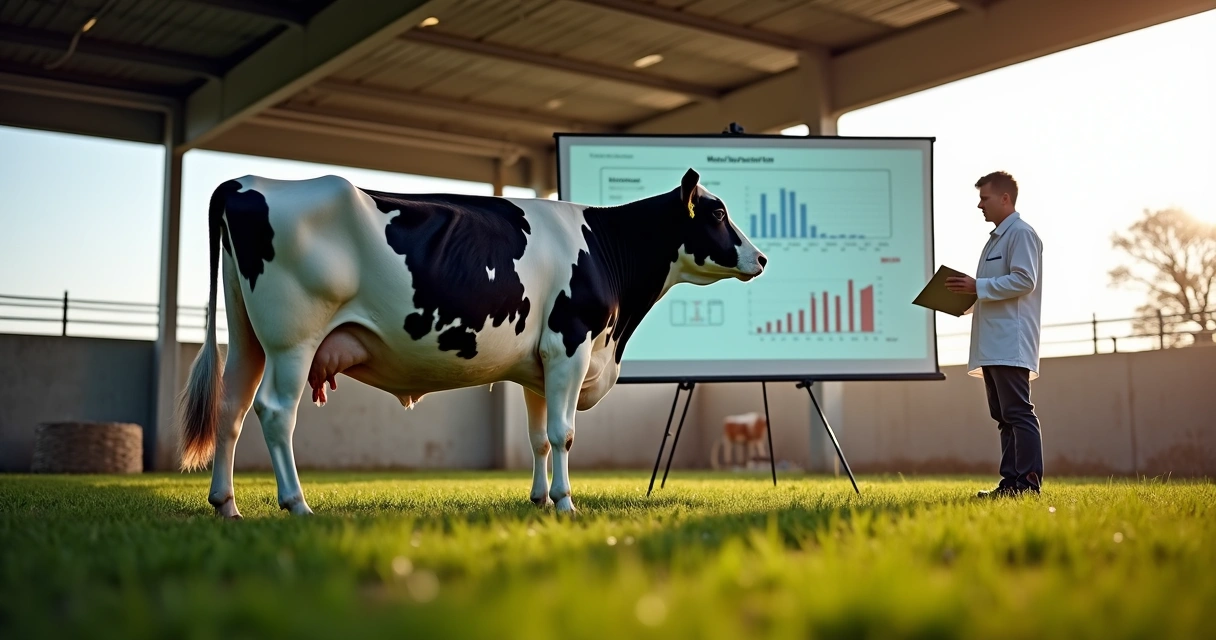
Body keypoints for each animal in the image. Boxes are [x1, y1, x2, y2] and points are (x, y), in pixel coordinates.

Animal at [177, 168, 765, 518]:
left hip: (247, 336)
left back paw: (225, 504)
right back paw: (296, 504)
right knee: (276, 413)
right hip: (293, 339)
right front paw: (565, 504)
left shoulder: (539, 364)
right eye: (717, 213)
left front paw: (538, 499)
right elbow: (564, 434)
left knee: (230, 410)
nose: (760, 257)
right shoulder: (570, 345)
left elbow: (538, 438)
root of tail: (247, 182)